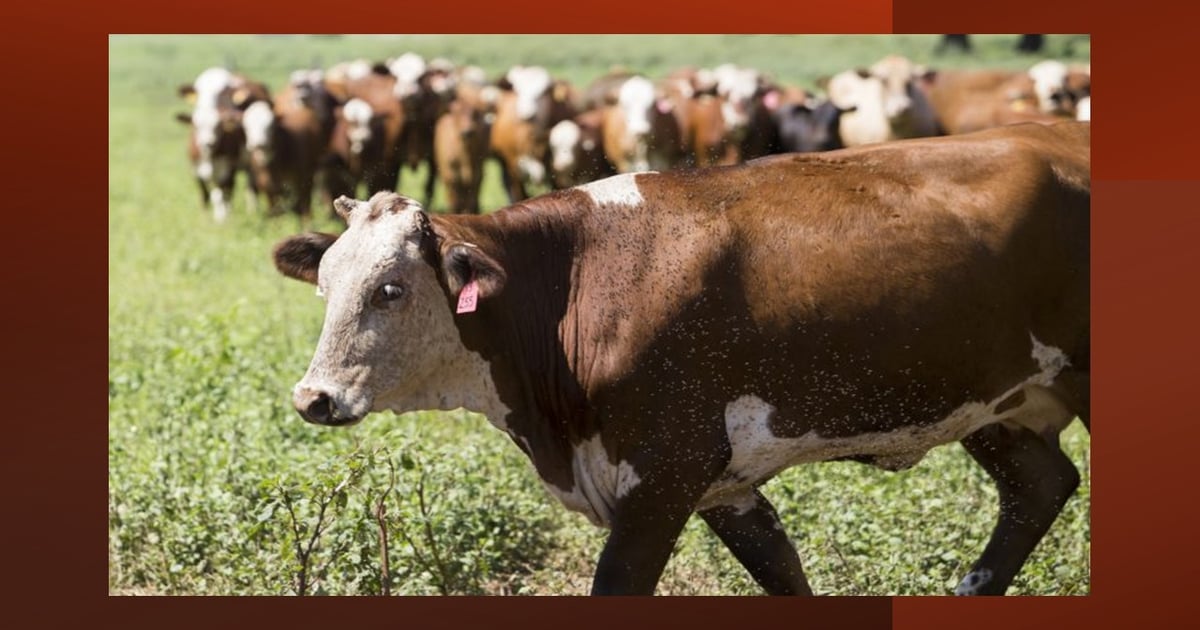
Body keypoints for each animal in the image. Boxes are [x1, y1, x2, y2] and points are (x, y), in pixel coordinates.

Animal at [175, 67, 271, 222]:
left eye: (225, 92)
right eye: (199, 91)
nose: (208, 143)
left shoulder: (228, 167)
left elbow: (224, 194)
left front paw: (223, 219)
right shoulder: (196, 170)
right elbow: (205, 195)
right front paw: (204, 218)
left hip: (252, 162)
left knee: (249, 187)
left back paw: (252, 211)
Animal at [272, 121, 1090, 596]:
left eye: (390, 289)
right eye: (326, 284)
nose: (313, 398)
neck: (574, 285)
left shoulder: (664, 477)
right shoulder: (725, 486)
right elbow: (785, 574)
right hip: (996, 399)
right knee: (1041, 485)